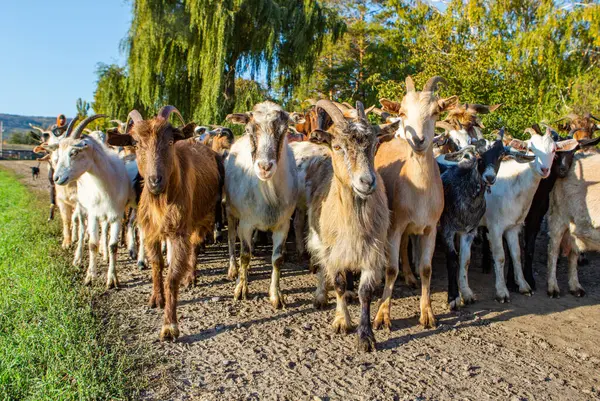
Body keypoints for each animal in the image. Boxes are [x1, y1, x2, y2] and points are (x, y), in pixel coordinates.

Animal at [107, 104, 223, 340]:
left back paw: (191, 277)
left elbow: (172, 277)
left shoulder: (179, 232)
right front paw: (156, 299)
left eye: (170, 142)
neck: (161, 202)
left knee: (195, 246)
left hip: (203, 217)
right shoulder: (150, 232)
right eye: (136, 143)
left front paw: (170, 326)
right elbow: (157, 265)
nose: (155, 181)